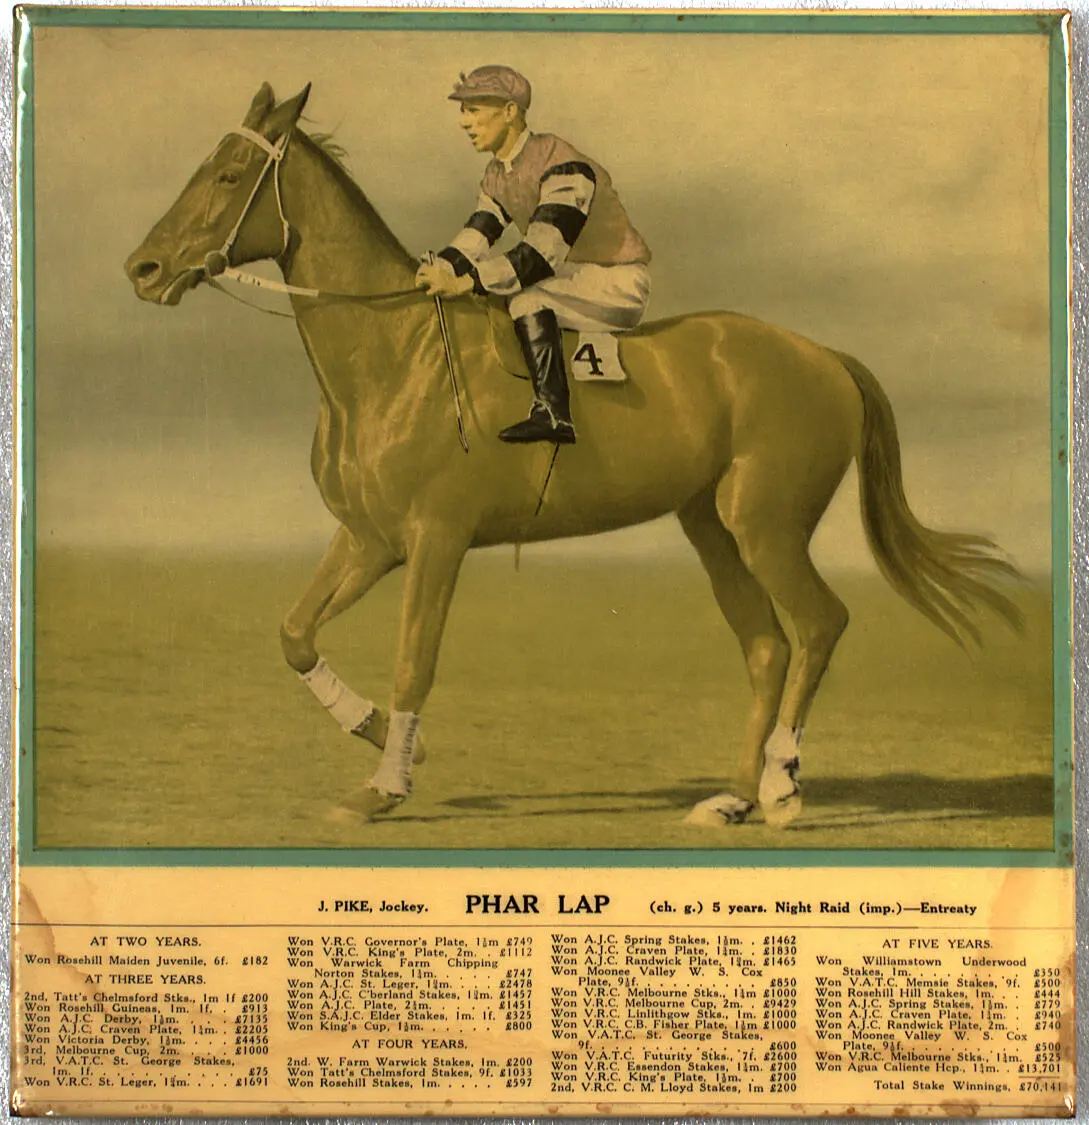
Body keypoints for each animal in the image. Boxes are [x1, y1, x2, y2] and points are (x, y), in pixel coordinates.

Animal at [123, 83, 1017, 828]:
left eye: (229, 174)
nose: (144, 268)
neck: (397, 351)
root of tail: (824, 355)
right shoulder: (370, 538)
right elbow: (294, 632)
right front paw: (381, 733)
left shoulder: (436, 540)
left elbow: (415, 660)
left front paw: (386, 784)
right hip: (710, 526)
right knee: (767, 646)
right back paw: (730, 798)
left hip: (763, 522)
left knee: (819, 623)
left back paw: (781, 786)